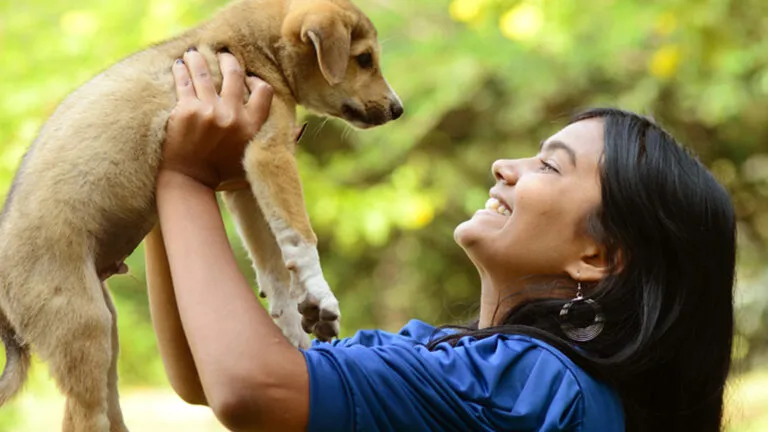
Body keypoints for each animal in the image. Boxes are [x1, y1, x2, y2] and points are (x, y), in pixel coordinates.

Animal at [0, 0, 402, 430]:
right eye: (364, 58)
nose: (398, 109)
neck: (250, 49)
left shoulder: (243, 180)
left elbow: (272, 263)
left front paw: (291, 327)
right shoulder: (270, 155)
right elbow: (301, 236)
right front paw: (320, 295)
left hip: (106, 331)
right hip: (83, 327)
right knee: (83, 416)